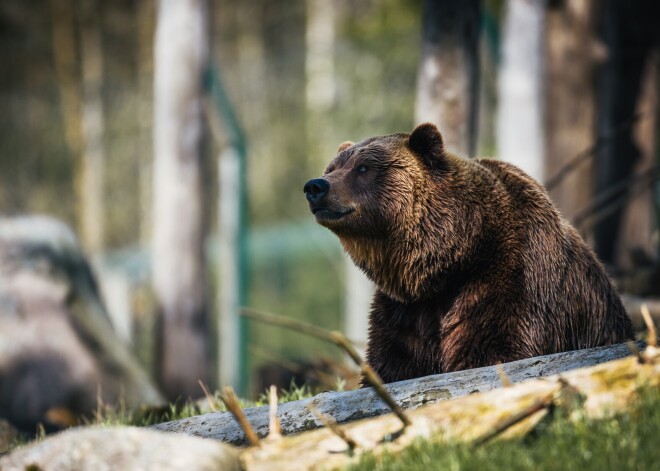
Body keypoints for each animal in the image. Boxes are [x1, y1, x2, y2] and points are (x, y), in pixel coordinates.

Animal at [302, 123, 636, 386]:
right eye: (332, 168)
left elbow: (493, 349)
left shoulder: (510, 278)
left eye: (363, 168)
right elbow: (393, 363)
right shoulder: (405, 310)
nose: (315, 186)